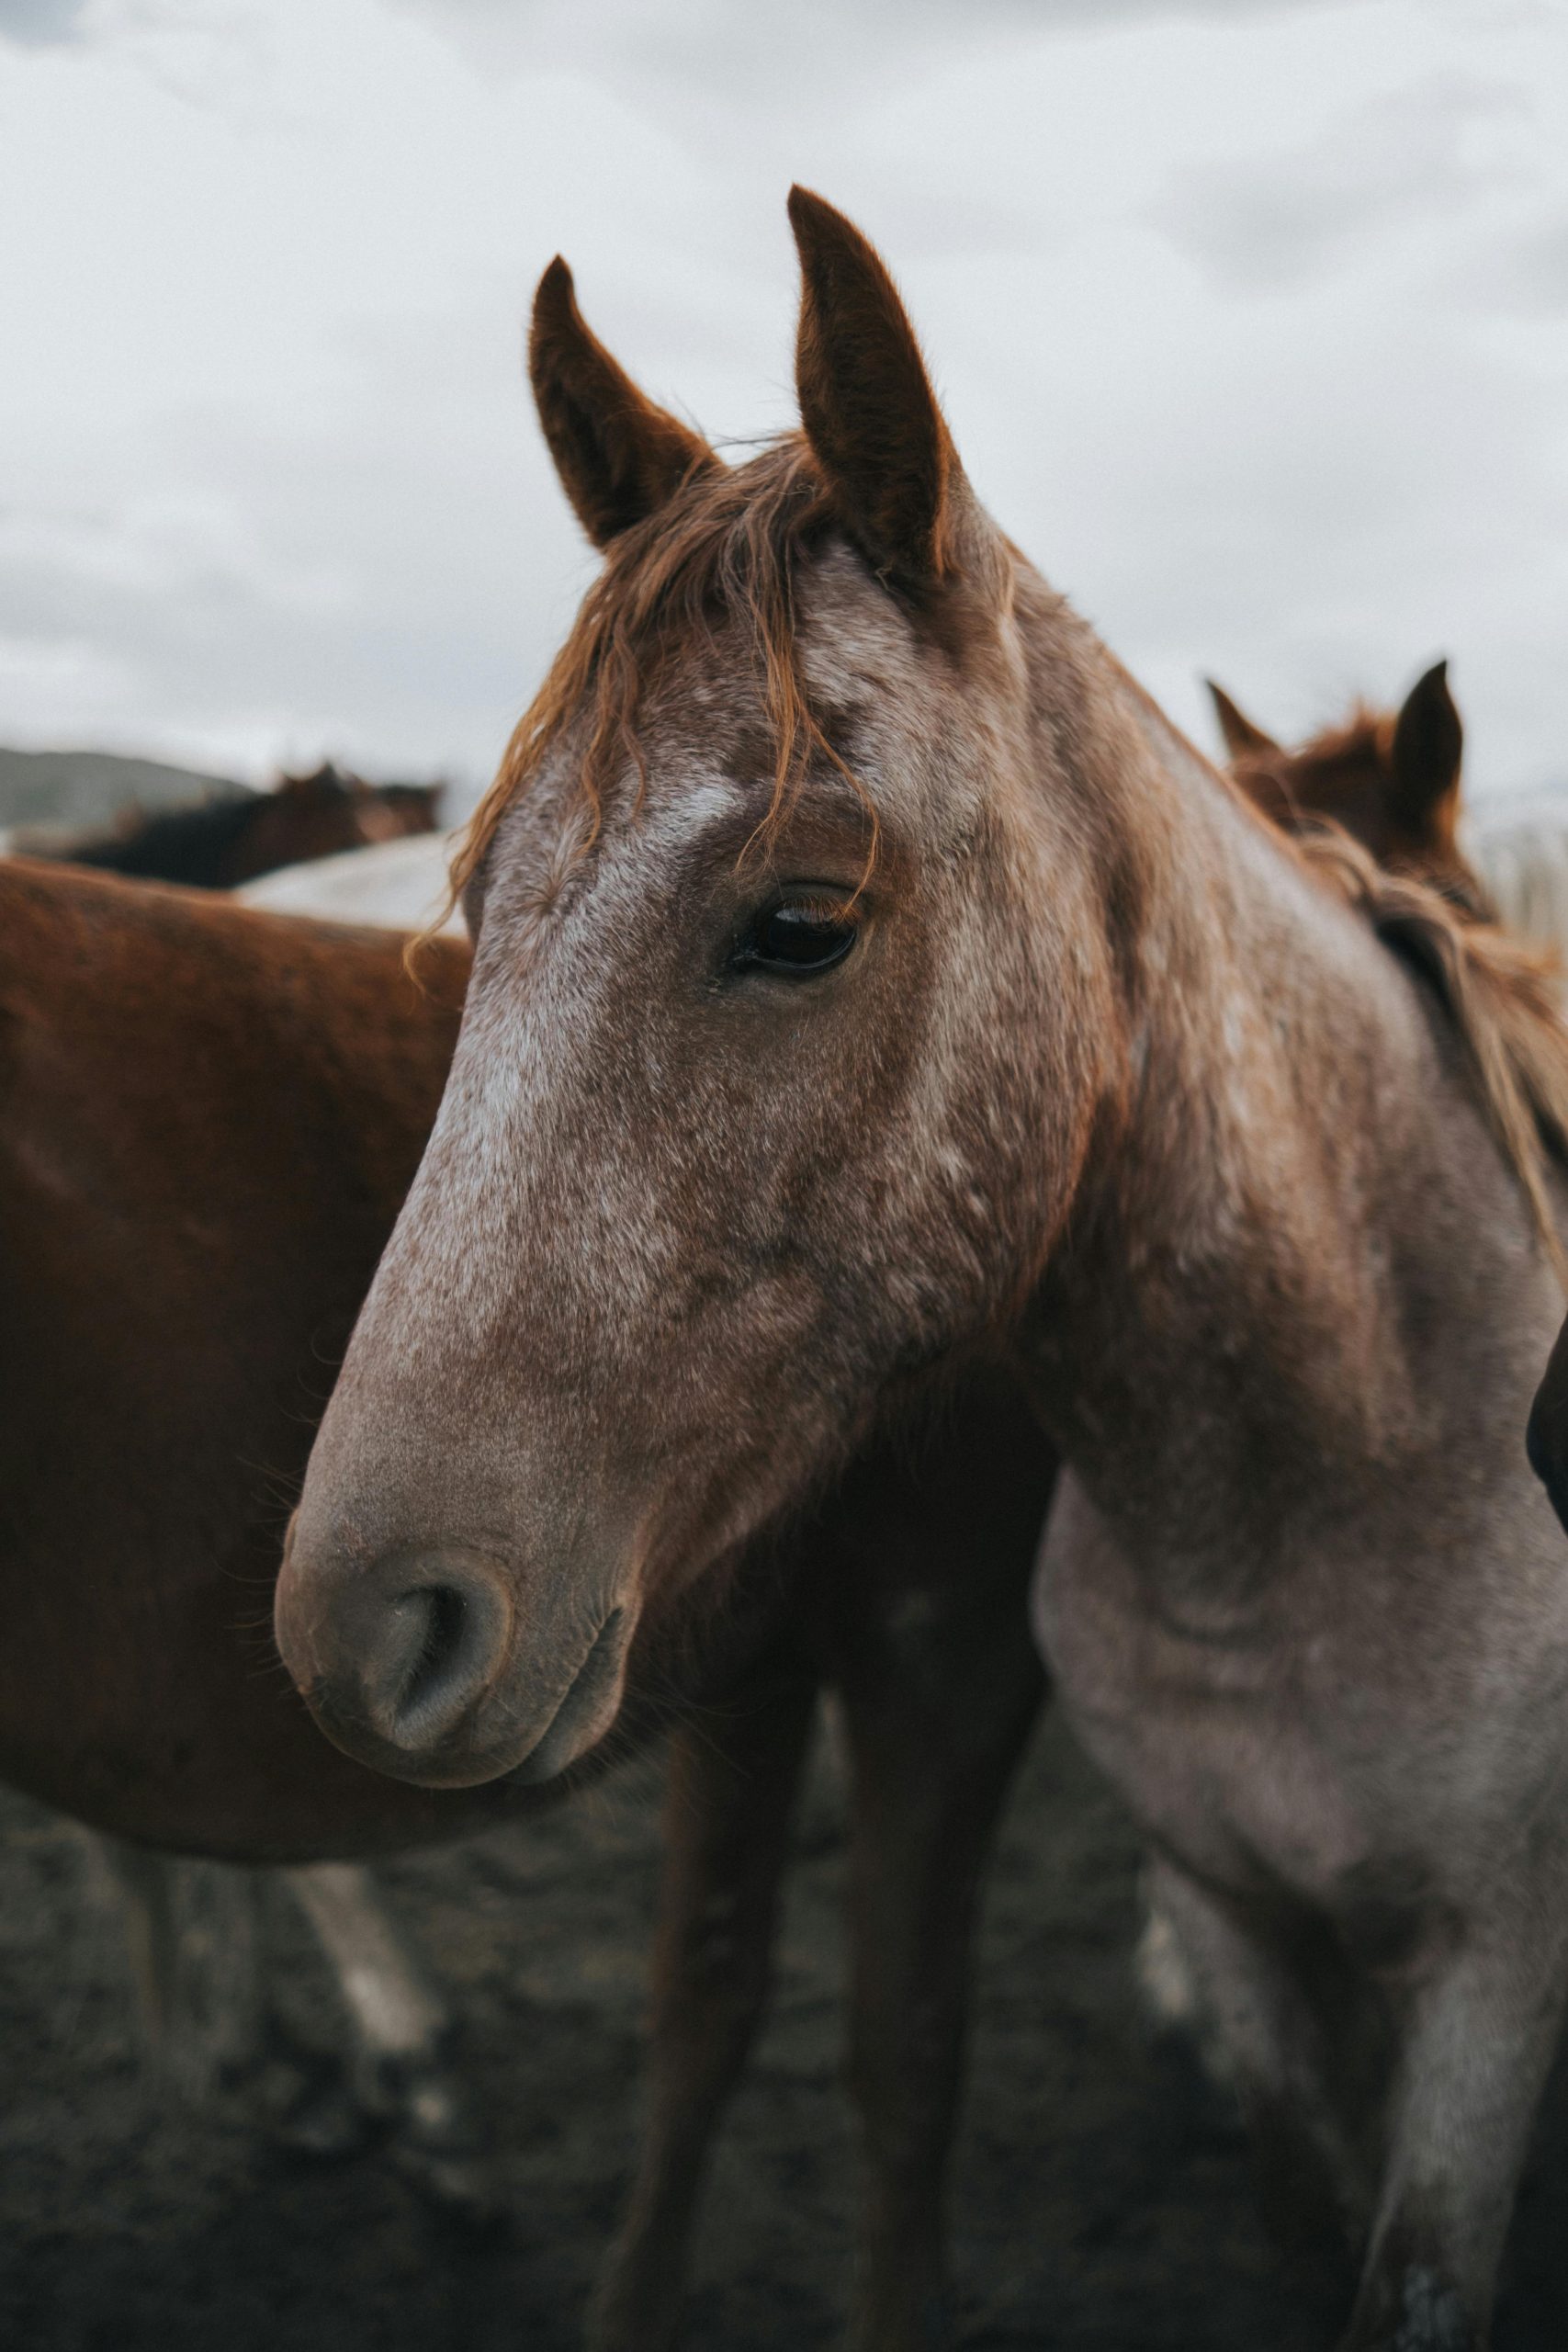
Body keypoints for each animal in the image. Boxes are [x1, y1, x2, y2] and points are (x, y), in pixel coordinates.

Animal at [278, 187, 1568, 2352]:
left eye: (802, 919)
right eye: (477, 901)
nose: (369, 1625)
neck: (1364, 1444)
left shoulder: (1485, 1990)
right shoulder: (1246, 1936)